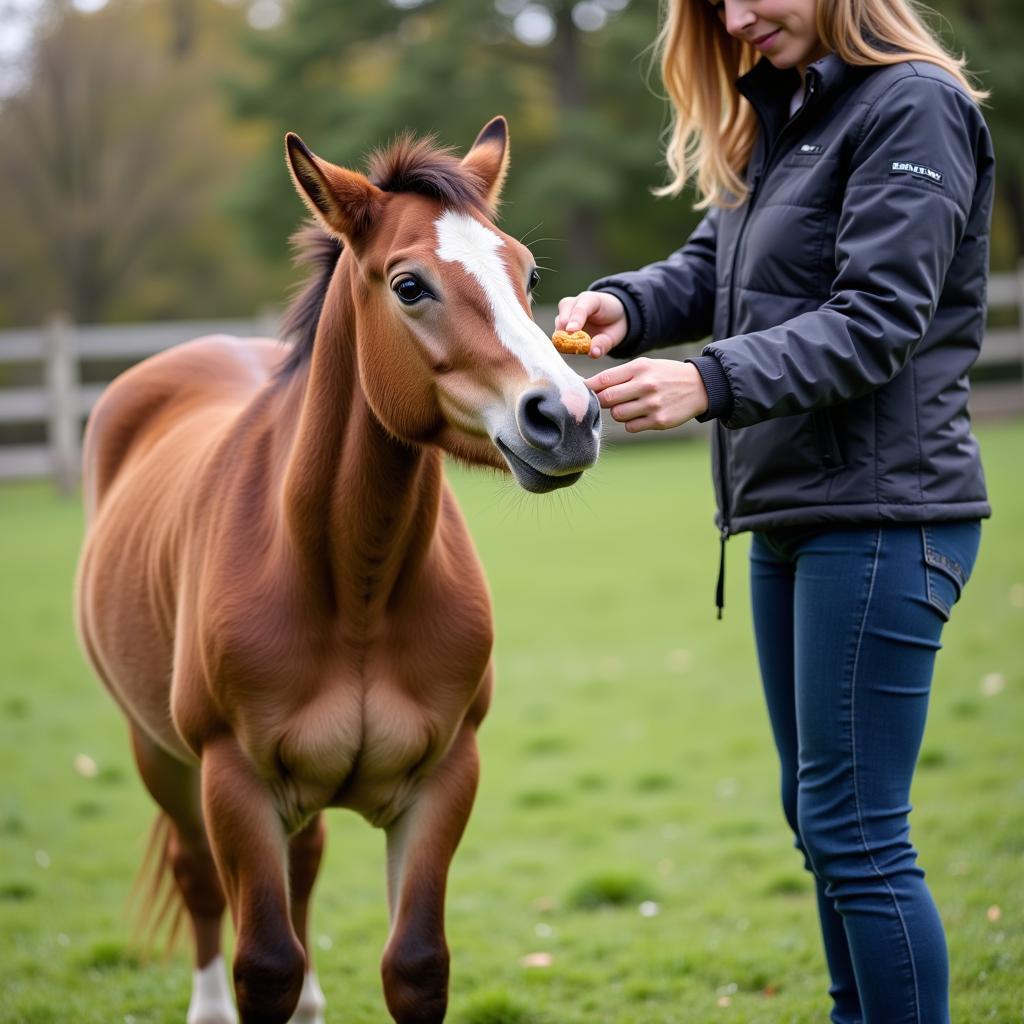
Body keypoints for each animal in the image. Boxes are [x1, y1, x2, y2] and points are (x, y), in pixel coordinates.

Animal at [77, 119, 598, 1024]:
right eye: (409, 285)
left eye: (527, 273)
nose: (564, 418)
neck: (355, 588)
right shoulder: (233, 784)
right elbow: (265, 964)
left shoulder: (445, 779)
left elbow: (415, 963)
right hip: (160, 757)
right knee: (200, 881)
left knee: (305, 866)